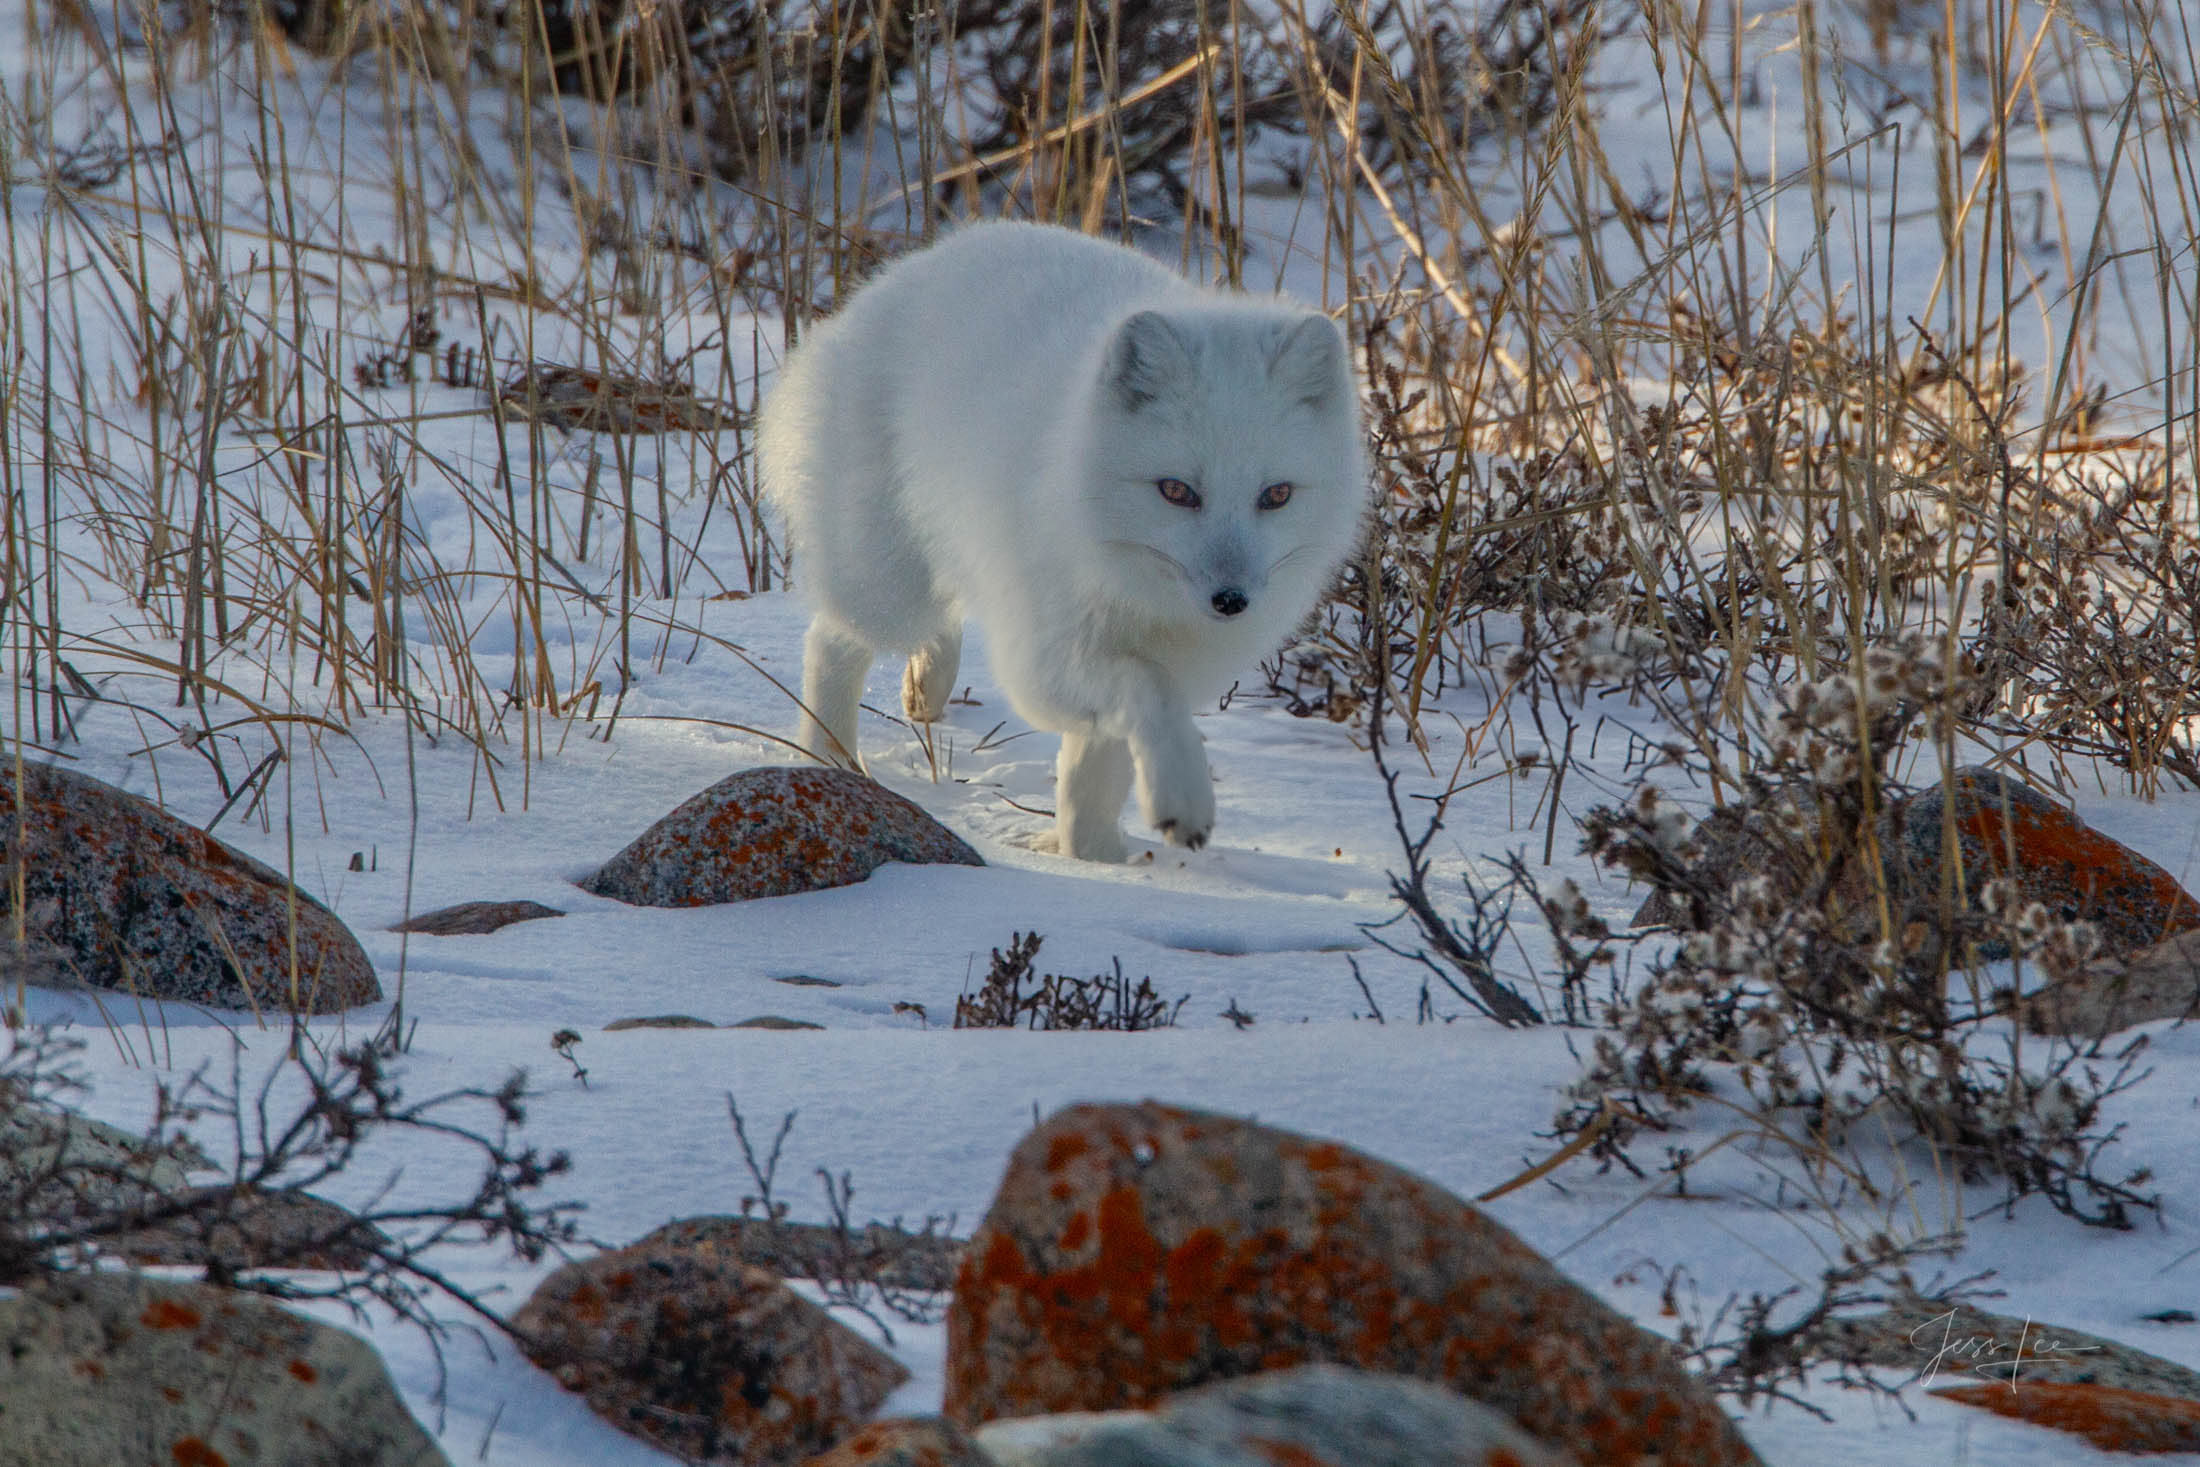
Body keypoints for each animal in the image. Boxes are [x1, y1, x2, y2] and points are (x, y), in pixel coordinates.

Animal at [758, 220, 1367, 862]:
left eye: (1276, 495)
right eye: (1176, 491)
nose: (1231, 601)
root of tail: (895, 276)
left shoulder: (1164, 667)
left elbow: (1094, 778)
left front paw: (1093, 859)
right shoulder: (1045, 662)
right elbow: (1145, 692)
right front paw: (1182, 799)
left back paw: (927, 686)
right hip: (887, 589)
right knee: (832, 639)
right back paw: (827, 758)